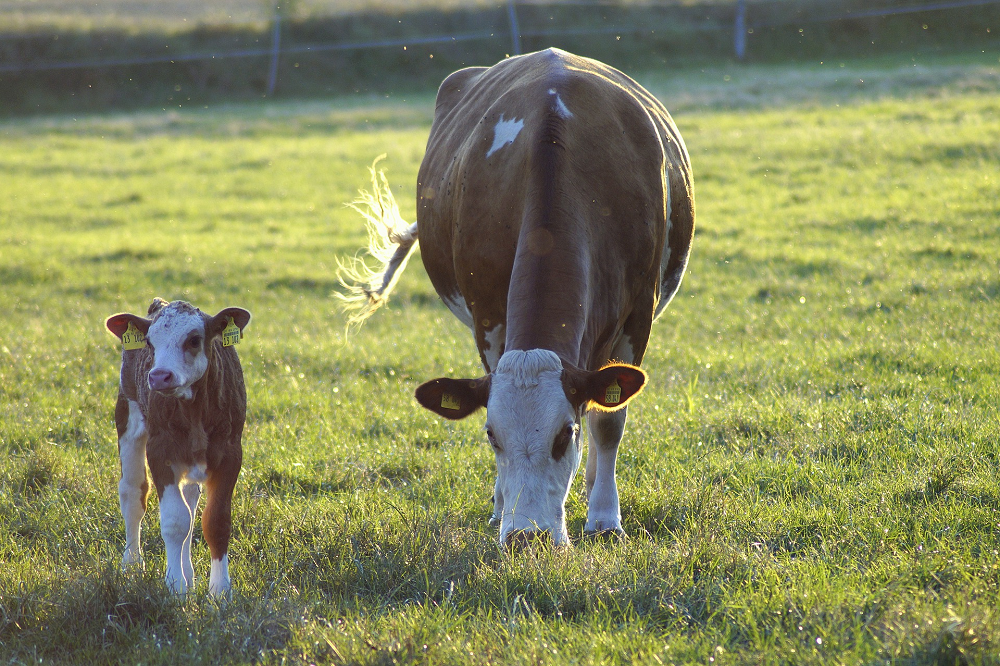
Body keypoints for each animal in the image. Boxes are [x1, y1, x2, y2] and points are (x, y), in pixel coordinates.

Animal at [104, 296, 252, 592]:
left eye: (194, 340)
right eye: (149, 342)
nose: (159, 376)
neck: (195, 411)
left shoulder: (231, 453)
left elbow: (215, 521)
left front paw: (219, 591)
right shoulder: (160, 452)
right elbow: (174, 520)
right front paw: (176, 587)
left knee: (191, 501)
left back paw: (189, 572)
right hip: (127, 412)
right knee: (133, 492)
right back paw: (132, 565)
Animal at [340, 48, 692, 544]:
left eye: (563, 434)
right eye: (492, 435)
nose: (528, 535)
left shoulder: (638, 315)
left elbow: (608, 422)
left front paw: (605, 517)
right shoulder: (487, 315)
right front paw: (500, 507)